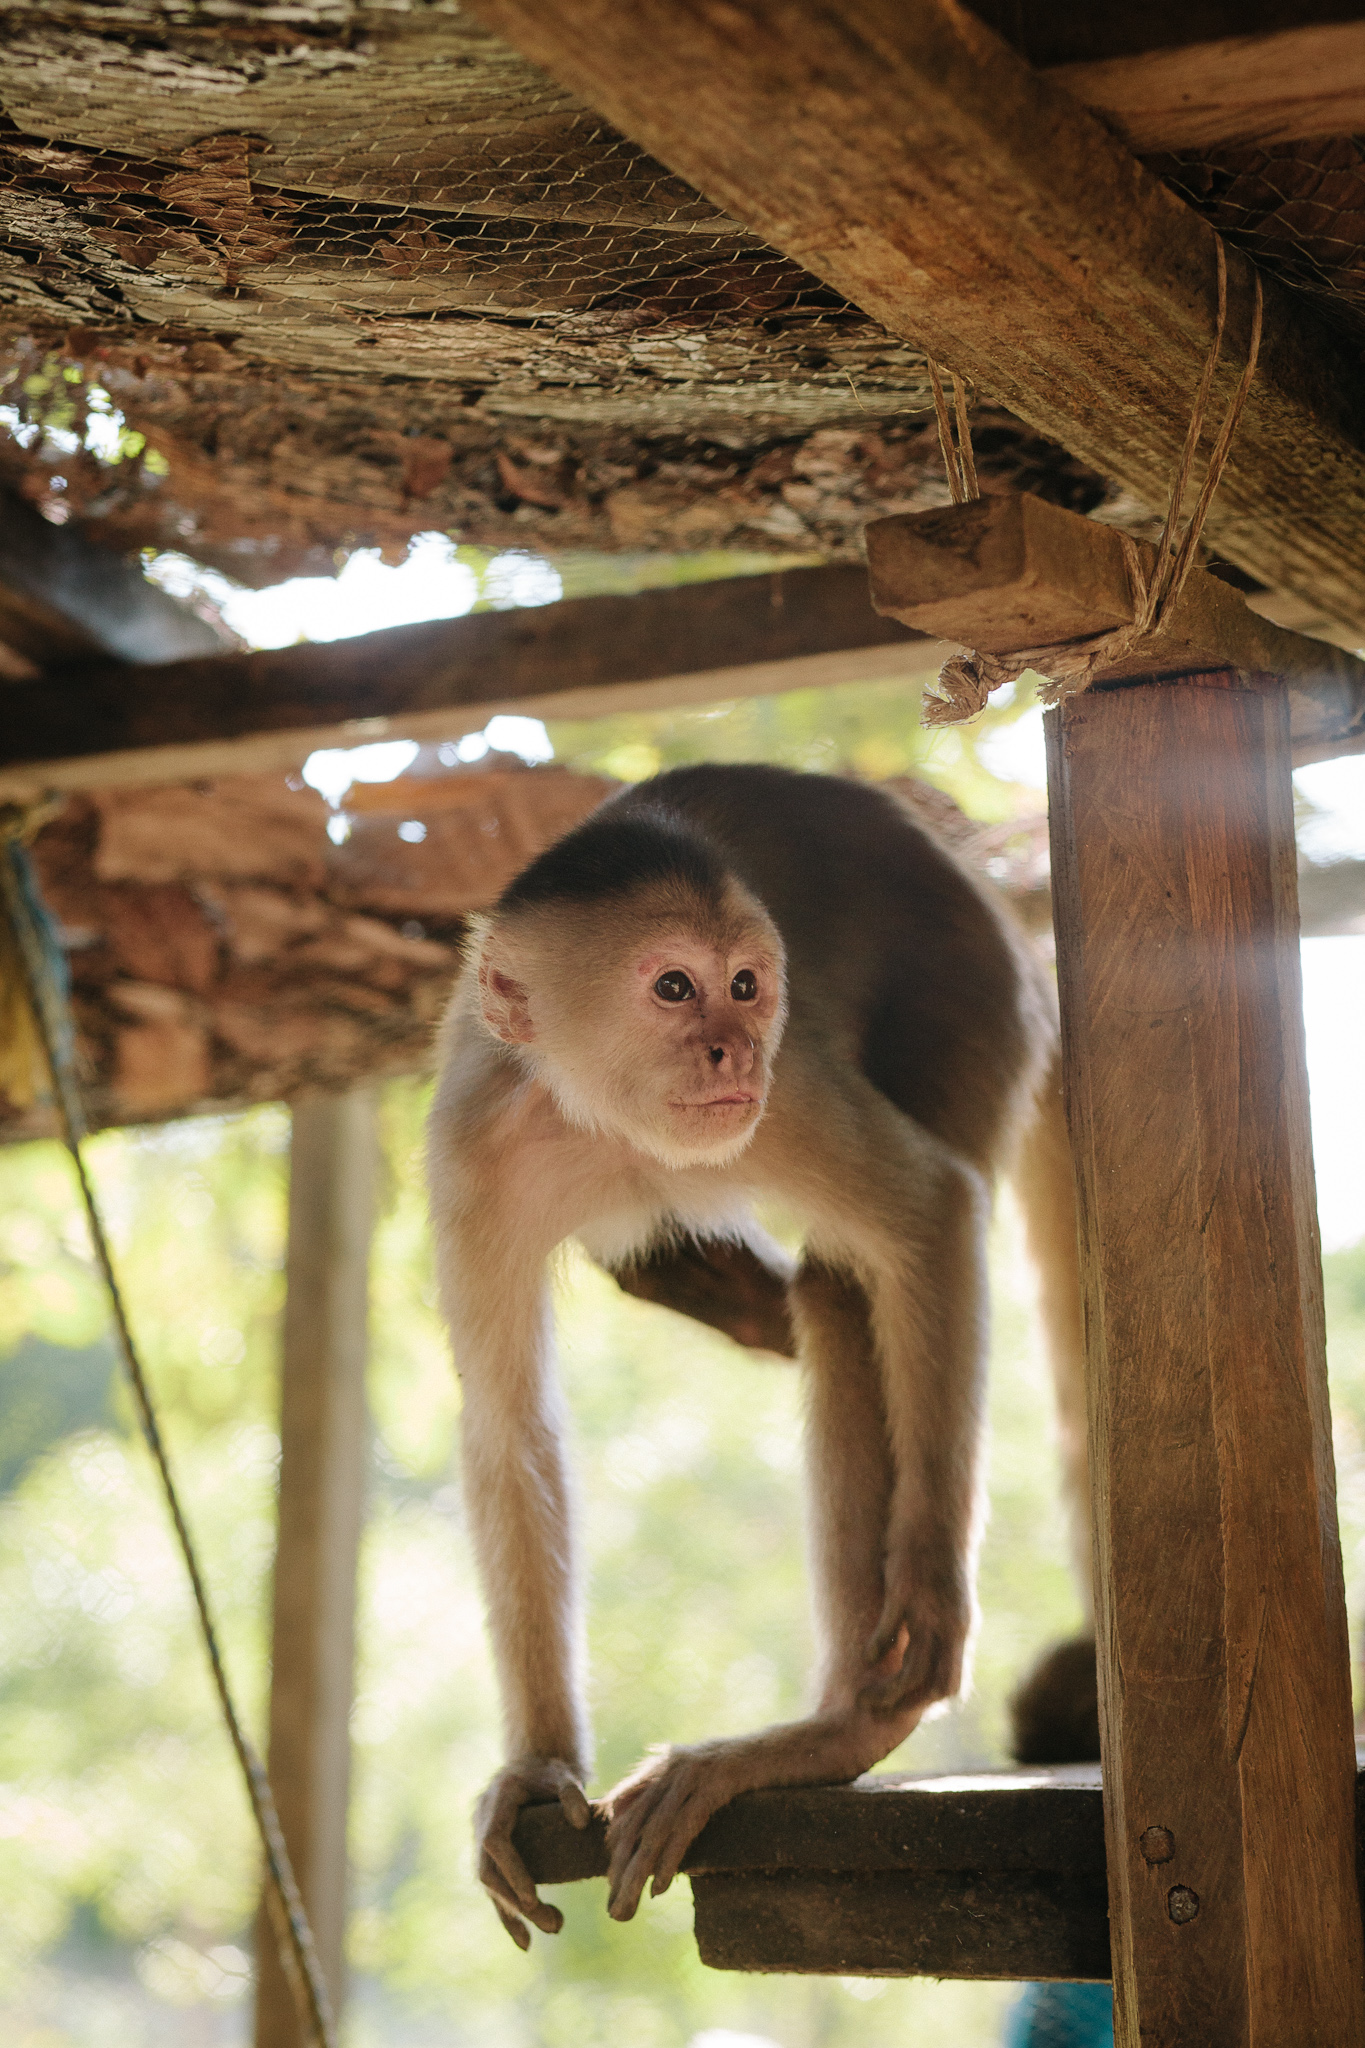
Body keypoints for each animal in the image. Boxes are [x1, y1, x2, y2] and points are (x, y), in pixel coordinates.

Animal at [431, 761, 1096, 1941]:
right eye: (672, 988)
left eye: (742, 984)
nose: (730, 1047)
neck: (610, 1123)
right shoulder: (475, 1150)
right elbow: (511, 1428)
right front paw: (538, 1763)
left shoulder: (783, 1089)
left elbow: (930, 1211)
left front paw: (928, 1583)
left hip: (968, 995)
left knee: (852, 1282)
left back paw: (832, 1737)